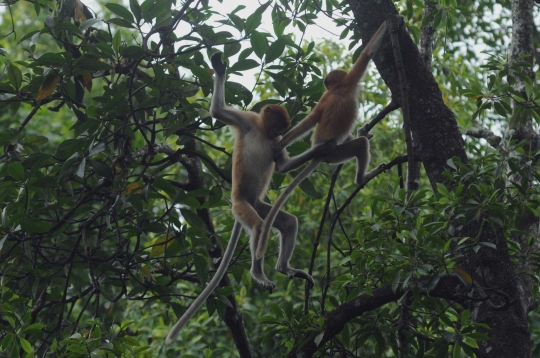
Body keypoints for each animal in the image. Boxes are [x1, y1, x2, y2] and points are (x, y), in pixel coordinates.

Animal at [163, 51, 330, 342]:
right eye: (278, 123)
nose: (279, 133)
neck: (263, 131)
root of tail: (246, 201)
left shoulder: (275, 144)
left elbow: (283, 166)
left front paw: (323, 149)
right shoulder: (247, 121)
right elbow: (218, 112)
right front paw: (219, 67)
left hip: (260, 205)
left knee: (288, 222)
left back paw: (286, 269)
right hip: (241, 206)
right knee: (259, 226)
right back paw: (260, 274)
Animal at [258, 21, 388, 260]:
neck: (337, 89)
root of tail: (321, 150)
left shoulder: (323, 100)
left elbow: (311, 119)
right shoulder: (350, 81)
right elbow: (366, 55)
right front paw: (391, 22)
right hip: (336, 154)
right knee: (360, 147)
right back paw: (362, 178)